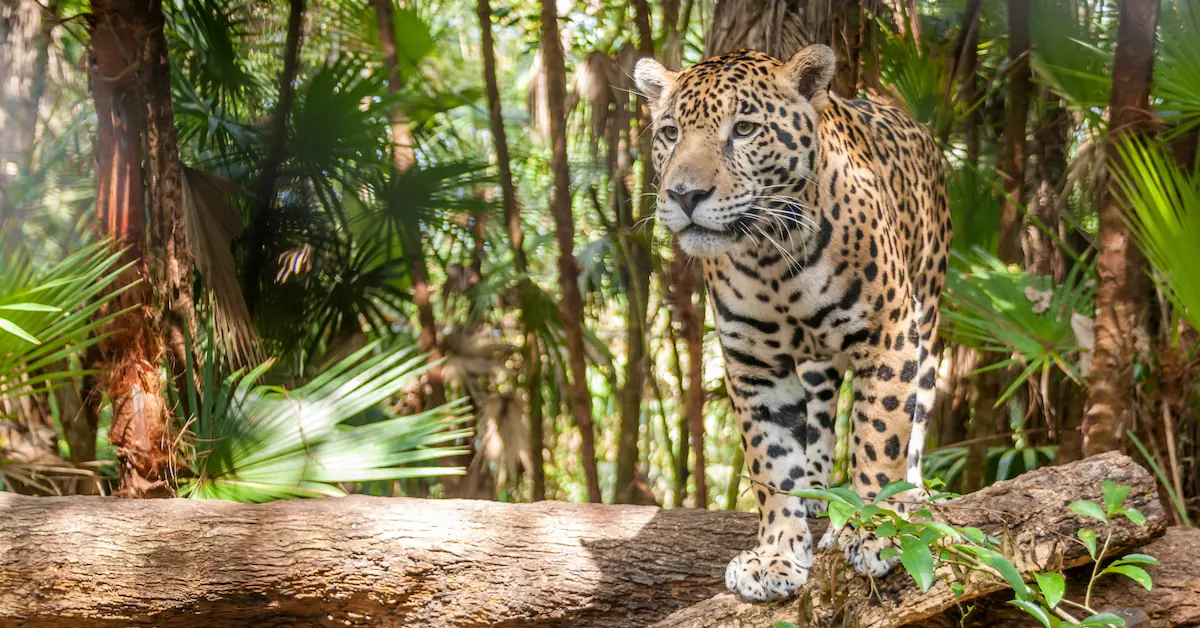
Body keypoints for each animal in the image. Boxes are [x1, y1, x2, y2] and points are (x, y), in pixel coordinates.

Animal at [634, 45, 951, 602]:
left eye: (743, 129)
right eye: (670, 132)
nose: (684, 195)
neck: (771, 258)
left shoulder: (888, 336)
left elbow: (879, 435)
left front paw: (875, 531)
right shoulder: (754, 365)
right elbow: (772, 459)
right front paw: (776, 553)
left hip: (927, 317)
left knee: (915, 419)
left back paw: (910, 495)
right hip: (818, 362)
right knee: (821, 413)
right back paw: (820, 494)